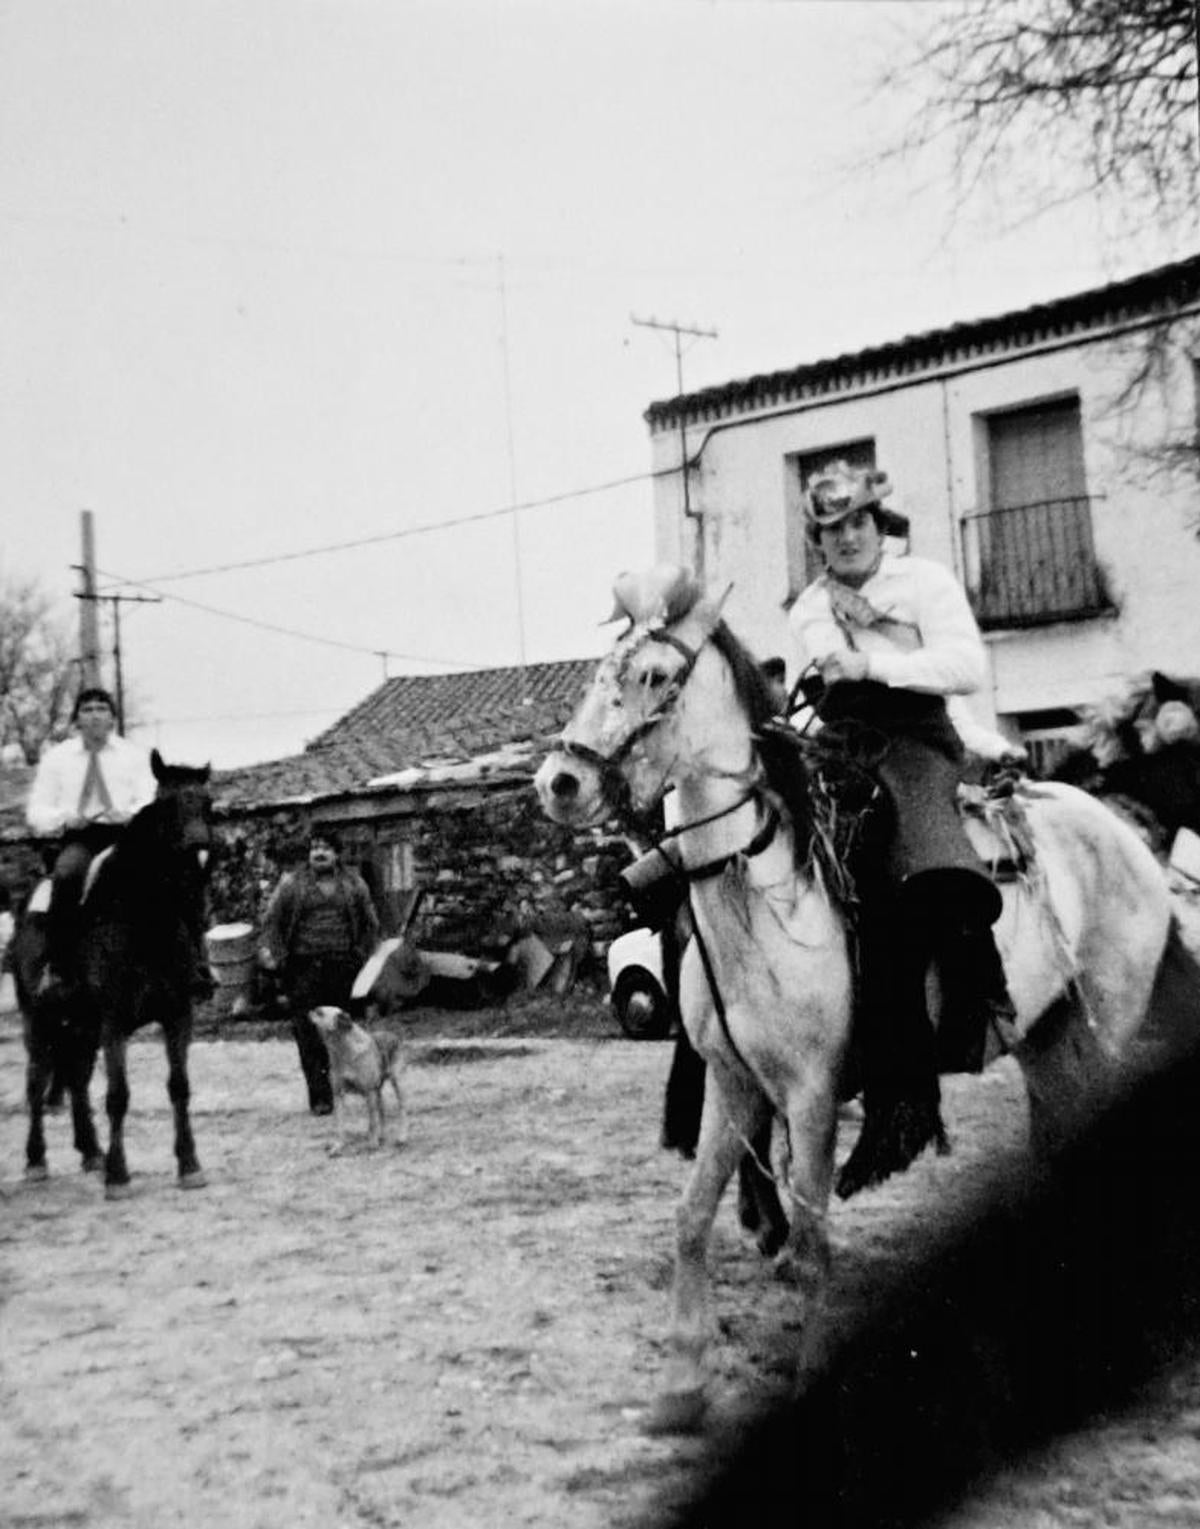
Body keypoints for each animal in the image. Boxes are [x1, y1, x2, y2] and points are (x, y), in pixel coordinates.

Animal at [12, 749, 215, 1192]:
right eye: (166, 803)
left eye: (208, 803)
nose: (199, 853)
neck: (144, 923)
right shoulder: (114, 1021)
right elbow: (118, 1094)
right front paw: (118, 1175)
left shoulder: (177, 1015)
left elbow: (179, 1087)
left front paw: (189, 1164)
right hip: (39, 1020)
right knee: (37, 1083)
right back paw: (36, 1160)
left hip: (81, 1027)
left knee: (75, 1080)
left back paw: (91, 1151)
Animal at [307, 1009, 403, 1149]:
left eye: (320, 1012)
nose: (309, 1011)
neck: (344, 1050)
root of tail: (392, 1035)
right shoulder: (338, 1095)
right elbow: (340, 1124)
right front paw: (339, 1145)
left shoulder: (369, 1093)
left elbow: (372, 1122)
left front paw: (372, 1143)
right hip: (377, 1092)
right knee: (382, 1114)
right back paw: (382, 1136)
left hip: (396, 1085)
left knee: (402, 1111)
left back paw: (402, 1137)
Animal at [535, 565, 1198, 1431]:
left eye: (651, 675)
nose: (560, 781)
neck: (767, 890)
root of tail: (1120, 829)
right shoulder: (734, 1084)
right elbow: (690, 1216)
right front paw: (681, 1385)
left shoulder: (812, 1093)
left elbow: (815, 1237)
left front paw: (810, 1372)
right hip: (1049, 1037)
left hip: (1106, 1026)